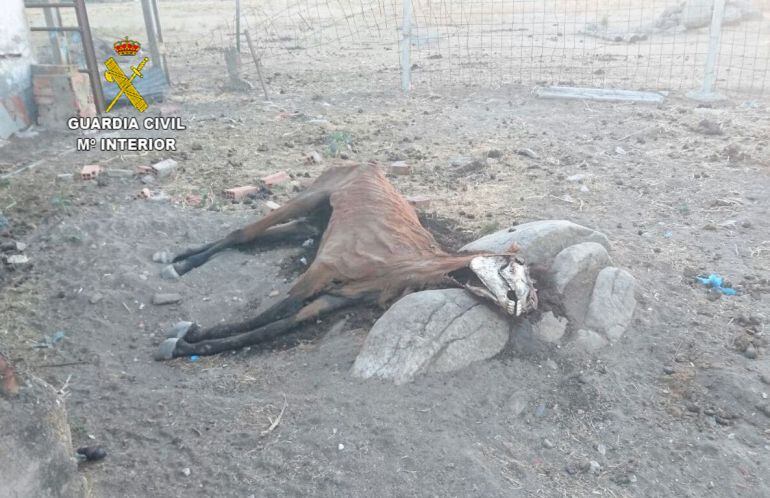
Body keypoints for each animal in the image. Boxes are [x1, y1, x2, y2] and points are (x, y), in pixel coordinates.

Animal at [153, 161, 532, 360]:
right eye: (513, 271)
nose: (522, 307)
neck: (406, 268)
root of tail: (368, 165)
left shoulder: (336, 297)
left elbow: (276, 326)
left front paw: (191, 343)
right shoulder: (324, 269)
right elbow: (270, 315)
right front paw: (185, 338)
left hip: (315, 221)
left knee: (264, 235)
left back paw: (180, 259)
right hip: (309, 197)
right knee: (242, 234)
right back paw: (180, 264)